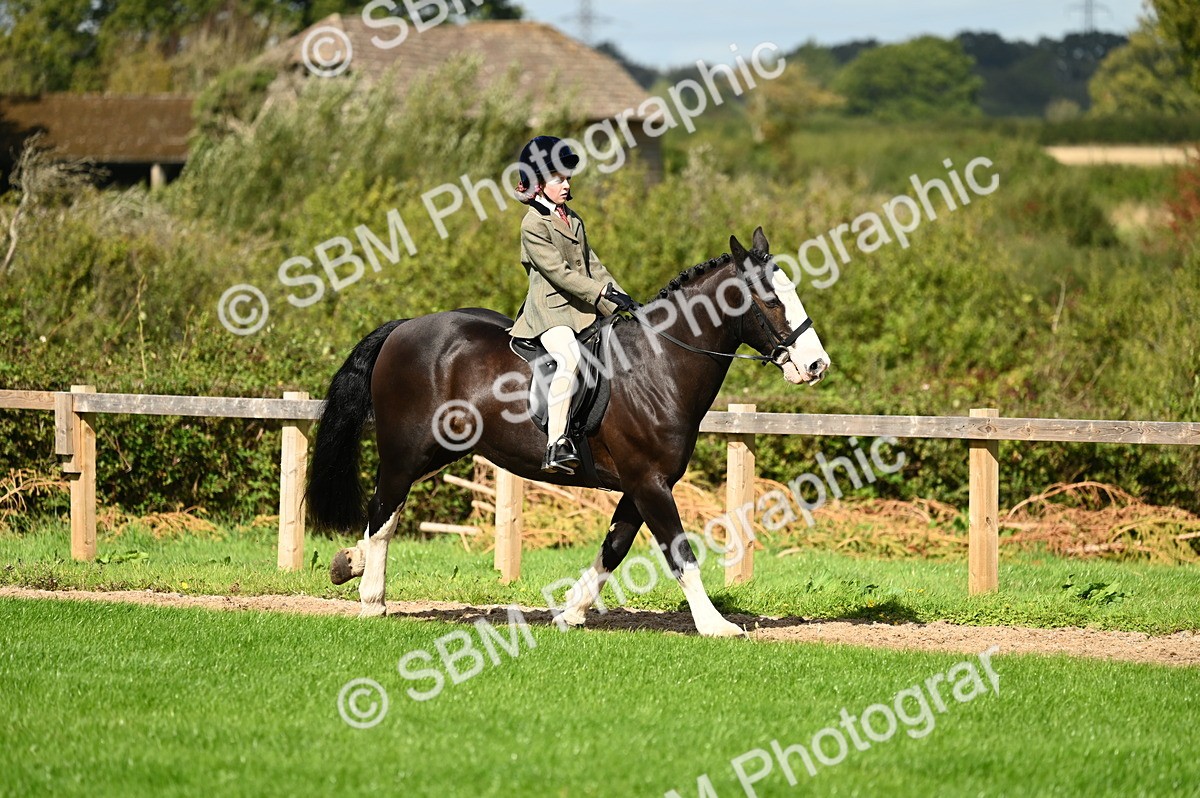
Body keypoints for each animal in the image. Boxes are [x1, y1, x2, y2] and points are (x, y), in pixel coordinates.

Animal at [305, 227, 830, 637]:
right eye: (770, 300)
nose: (816, 365)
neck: (659, 364)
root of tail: (404, 328)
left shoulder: (641, 485)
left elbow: (614, 548)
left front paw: (570, 613)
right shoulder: (649, 483)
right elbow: (680, 552)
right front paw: (716, 625)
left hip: (441, 450)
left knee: (386, 510)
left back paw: (348, 563)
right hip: (407, 450)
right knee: (384, 512)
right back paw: (372, 597)